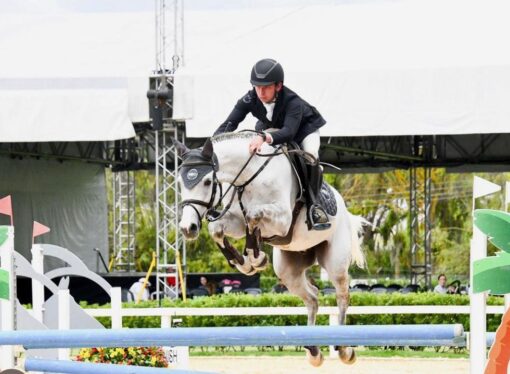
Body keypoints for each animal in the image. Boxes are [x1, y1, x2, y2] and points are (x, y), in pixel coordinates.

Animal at [175, 133, 366, 366]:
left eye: (208, 181)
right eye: (179, 183)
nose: (188, 228)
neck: (249, 176)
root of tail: (345, 211)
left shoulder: (282, 220)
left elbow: (253, 216)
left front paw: (254, 258)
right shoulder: (235, 220)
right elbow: (218, 229)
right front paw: (246, 263)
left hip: (335, 262)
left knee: (342, 295)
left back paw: (344, 348)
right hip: (288, 270)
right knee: (312, 297)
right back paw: (313, 350)